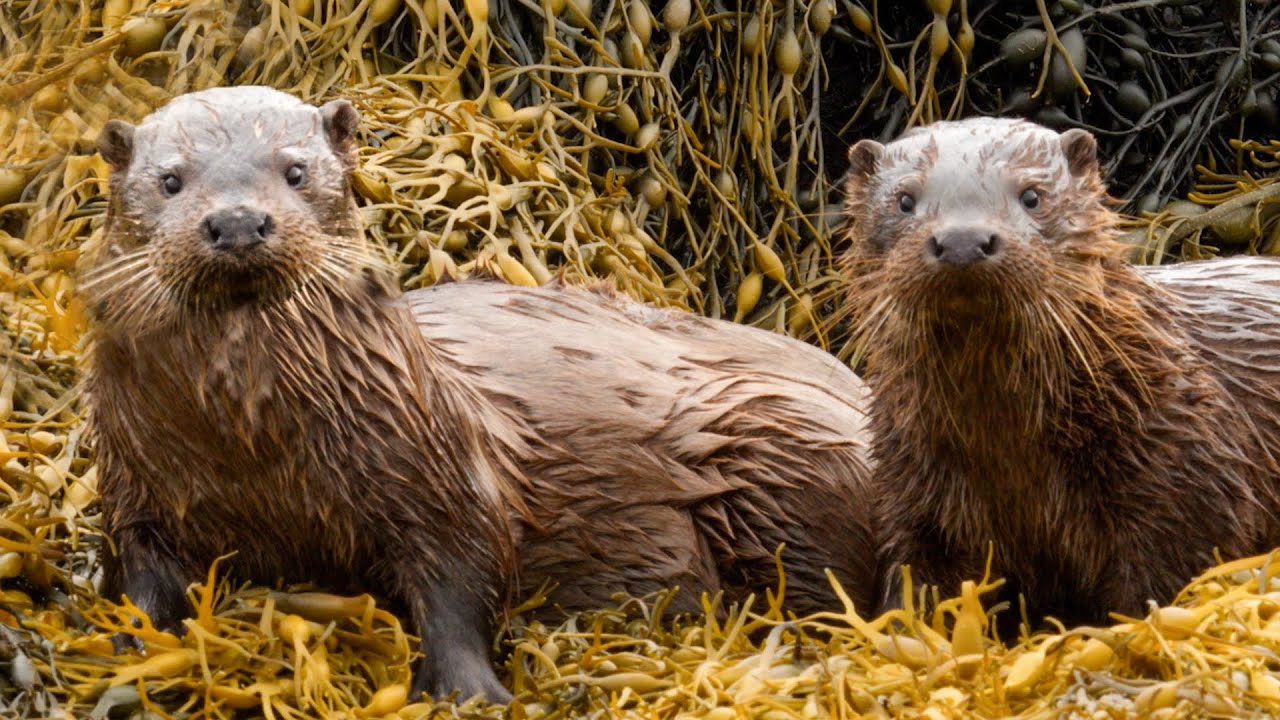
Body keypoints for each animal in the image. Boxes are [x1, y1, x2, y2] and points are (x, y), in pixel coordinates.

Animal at [84, 86, 878, 702]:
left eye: (296, 171)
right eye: (171, 180)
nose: (238, 221)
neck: (253, 453)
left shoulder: (439, 469)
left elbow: (461, 577)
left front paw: (468, 691)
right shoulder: (134, 490)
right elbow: (141, 580)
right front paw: (133, 655)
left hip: (785, 439)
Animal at [840, 117, 1280, 628]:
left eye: (1032, 195)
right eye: (905, 200)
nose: (963, 241)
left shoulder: (1190, 479)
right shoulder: (912, 488)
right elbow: (914, 581)